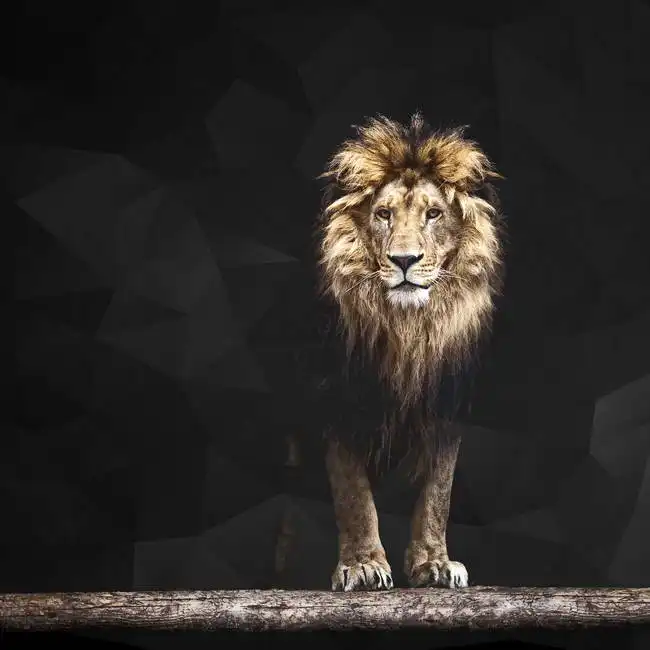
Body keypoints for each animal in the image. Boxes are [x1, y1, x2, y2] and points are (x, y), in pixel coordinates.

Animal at [313, 113, 504, 592]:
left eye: (433, 214)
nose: (404, 260)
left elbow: (438, 493)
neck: (408, 330)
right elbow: (353, 493)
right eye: (383, 214)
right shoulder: (338, 399)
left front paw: (434, 563)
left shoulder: (446, 405)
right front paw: (362, 565)